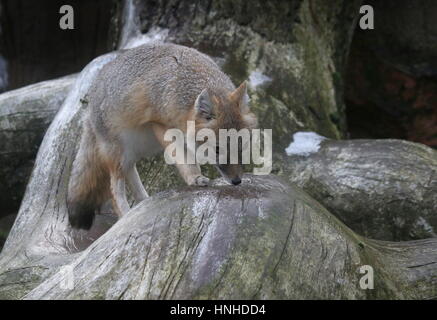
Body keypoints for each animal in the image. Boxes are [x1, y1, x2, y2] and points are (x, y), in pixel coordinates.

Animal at [67, 43, 258, 230]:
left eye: (242, 144)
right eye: (217, 149)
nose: (237, 181)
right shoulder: (161, 125)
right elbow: (185, 159)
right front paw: (195, 177)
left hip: (135, 150)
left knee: (130, 173)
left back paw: (143, 204)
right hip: (119, 154)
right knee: (115, 189)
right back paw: (126, 216)